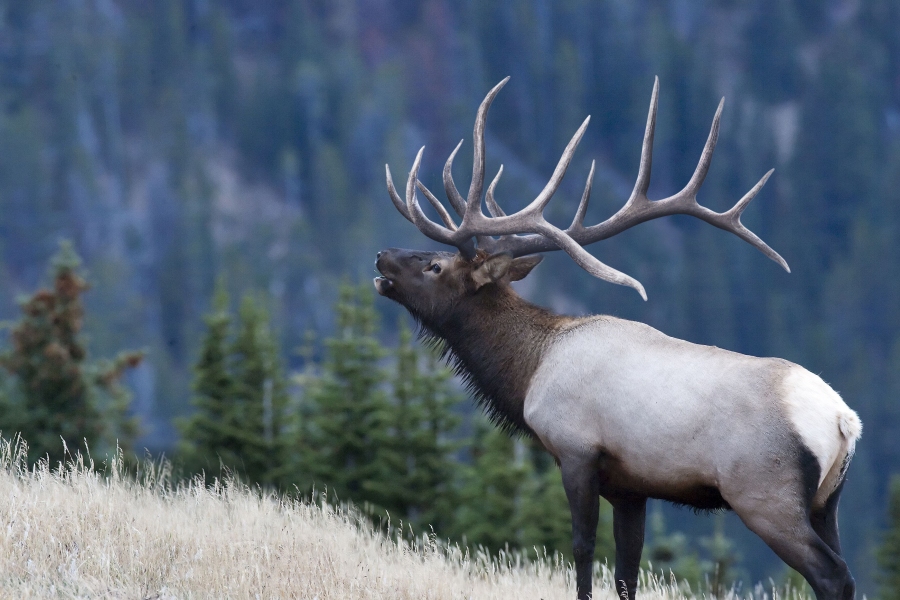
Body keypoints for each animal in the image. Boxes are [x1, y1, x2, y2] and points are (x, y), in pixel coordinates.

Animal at [373, 77, 861, 600]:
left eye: (434, 265)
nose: (382, 256)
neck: (528, 372)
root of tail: (843, 421)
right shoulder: (632, 486)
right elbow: (628, 568)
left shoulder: (575, 451)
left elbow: (583, 548)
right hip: (826, 500)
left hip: (764, 493)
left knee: (832, 573)